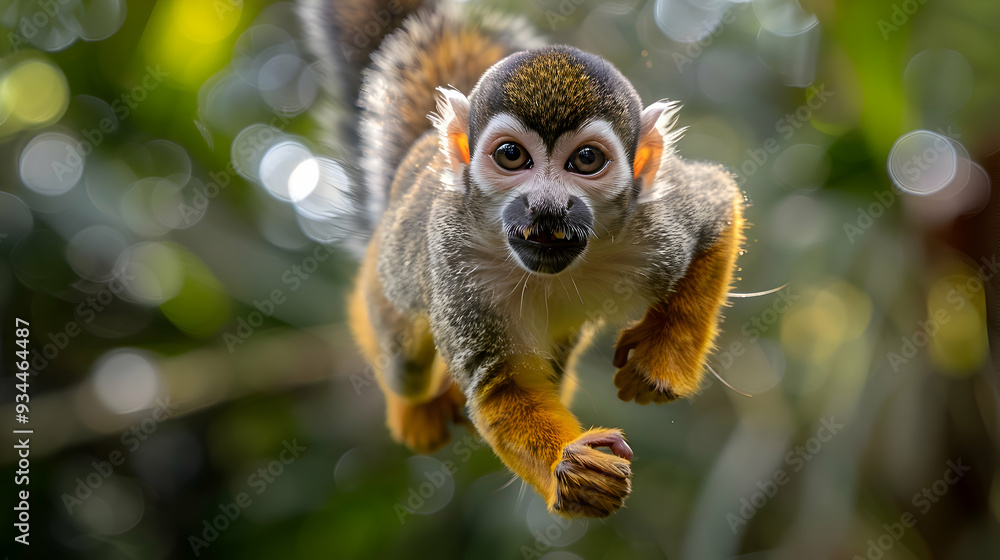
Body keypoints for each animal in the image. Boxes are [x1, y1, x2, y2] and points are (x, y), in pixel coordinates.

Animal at [298, 0, 744, 518]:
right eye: (511, 156)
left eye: (587, 160)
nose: (547, 207)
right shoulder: (453, 257)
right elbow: (500, 385)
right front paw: (569, 467)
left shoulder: (655, 218)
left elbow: (717, 206)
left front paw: (660, 359)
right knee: (404, 362)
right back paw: (410, 399)